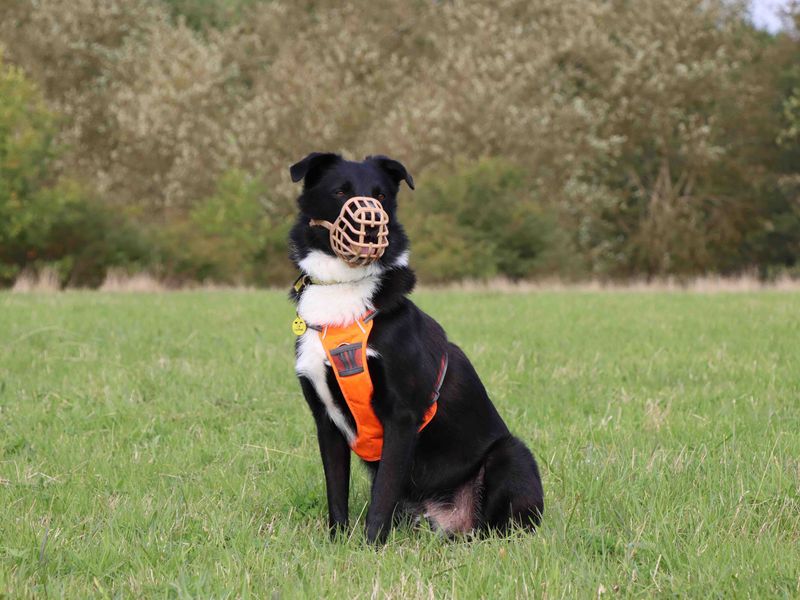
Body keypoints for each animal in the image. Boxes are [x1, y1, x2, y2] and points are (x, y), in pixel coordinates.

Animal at [288, 151, 544, 544]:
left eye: (380, 196)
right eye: (340, 191)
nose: (372, 226)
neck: (343, 293)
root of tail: (453, 521)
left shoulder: (402, 416)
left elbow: (382, 495)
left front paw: (370, 546)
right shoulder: (326, 420)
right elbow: (336, 492)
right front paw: (337, 542)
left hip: (511, 454)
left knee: (498, 527)